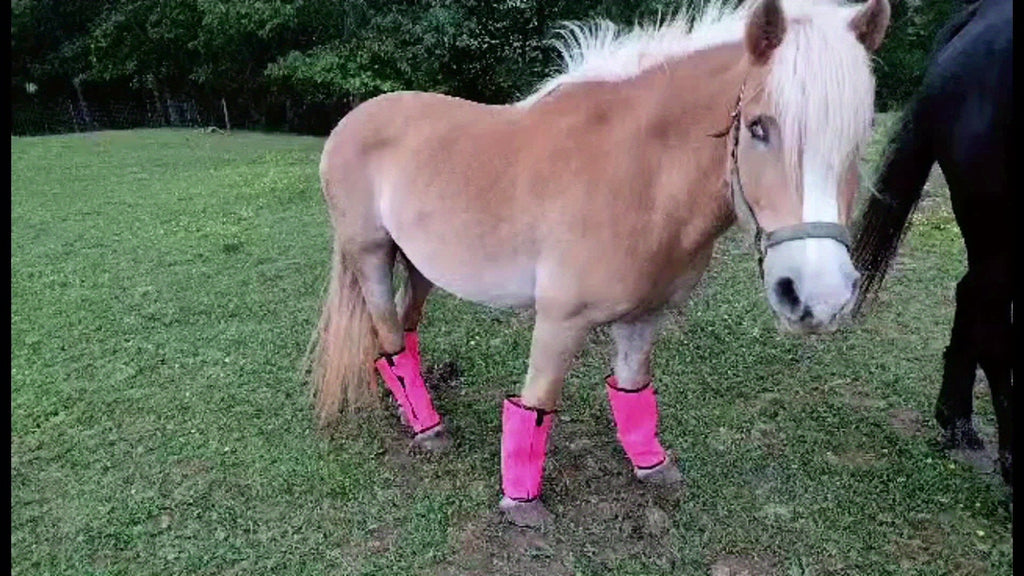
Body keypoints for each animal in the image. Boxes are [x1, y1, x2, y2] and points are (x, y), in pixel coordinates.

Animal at [310, 0, 891, 527]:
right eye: (758, 127)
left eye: (859, 136)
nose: (819, 296)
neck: (637, 174)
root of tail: (354, 118)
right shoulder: (560, 319)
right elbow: (536, 405)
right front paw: (522, 503)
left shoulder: (645, 317)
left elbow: (633, 390)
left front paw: (651, 466)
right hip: (371, 255)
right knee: (388, 338)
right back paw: (427, 428)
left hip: (421, 265)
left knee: (401, 334)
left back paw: (412, 410)